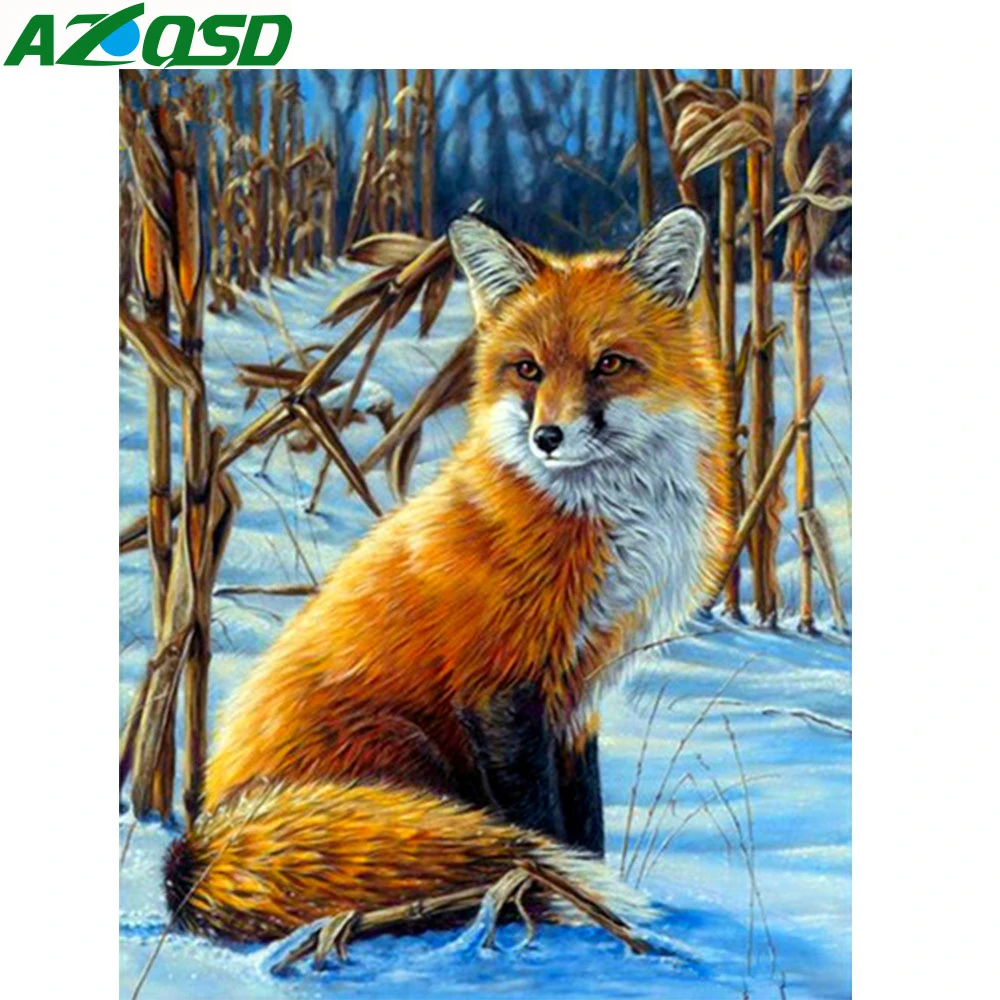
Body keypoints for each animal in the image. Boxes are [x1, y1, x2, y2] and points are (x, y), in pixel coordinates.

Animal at [163, 205, 735, 945]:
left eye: (609, 364)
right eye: (527, 370)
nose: (547, 438)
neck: (599, 518)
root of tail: (199, 840)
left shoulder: (578, 697)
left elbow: (587, 824)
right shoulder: (500, 686)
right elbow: (543, 823)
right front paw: (575, 909)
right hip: (406, 749)